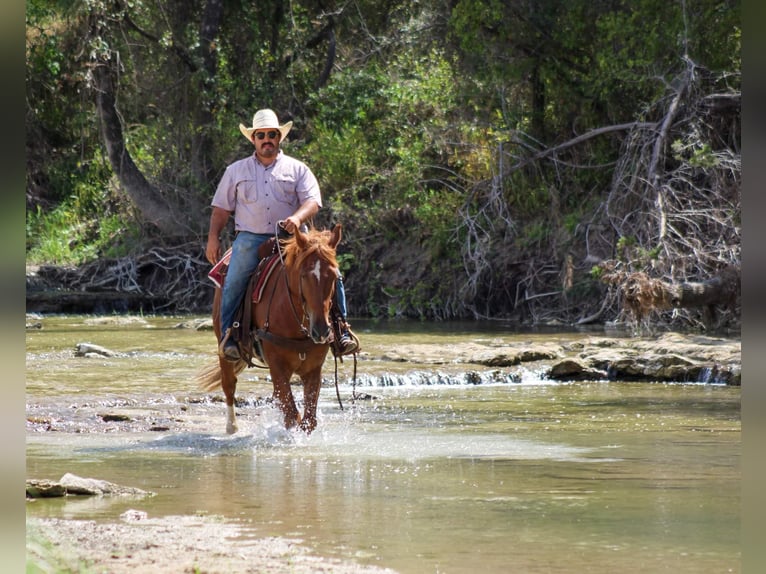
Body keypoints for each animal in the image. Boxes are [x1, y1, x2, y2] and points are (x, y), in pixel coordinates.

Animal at [198, 225, 342, 436]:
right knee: (229, 385)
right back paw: (232, 427)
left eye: (334, 276)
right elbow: (291, 415)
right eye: (304, 275)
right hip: (222, 345)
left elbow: (308, 420)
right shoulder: (277, 365)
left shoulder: (313, 369)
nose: (321, 330)